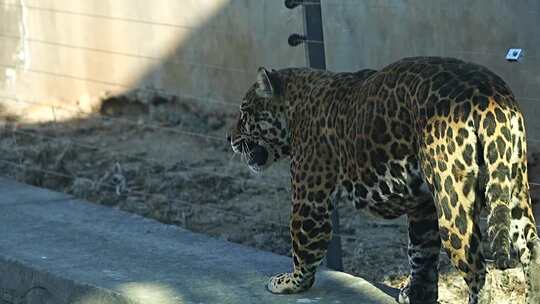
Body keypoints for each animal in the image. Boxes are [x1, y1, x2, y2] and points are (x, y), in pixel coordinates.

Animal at [226, 56, 540, 302]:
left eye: (244, 112)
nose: (229, 138)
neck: (295, 104)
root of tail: (488, 95)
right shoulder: (423, 204)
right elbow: (421, 253)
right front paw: (416, 294)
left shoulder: (310, 198)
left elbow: (303, 247)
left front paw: (288, 283)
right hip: (513, 185)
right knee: (532, 249)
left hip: (453, 203)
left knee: (477, 269)